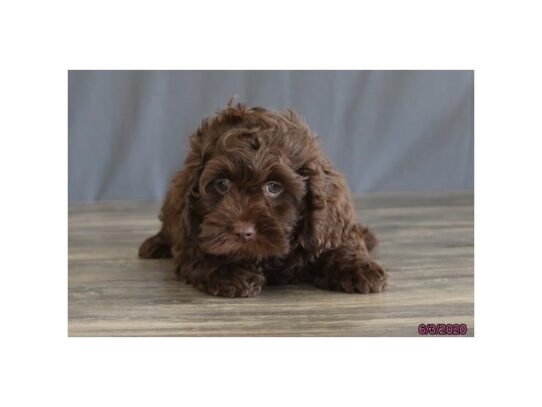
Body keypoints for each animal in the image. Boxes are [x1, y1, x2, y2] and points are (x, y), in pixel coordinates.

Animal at [139, 101, 386, 300]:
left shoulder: (326, 227)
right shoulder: (193, 234)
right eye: (222, 184)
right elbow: (204, 249)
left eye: (274, 187)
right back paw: (155, 245)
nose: (243, 233)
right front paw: (232, 272)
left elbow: (342, 243)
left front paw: (359, 269)